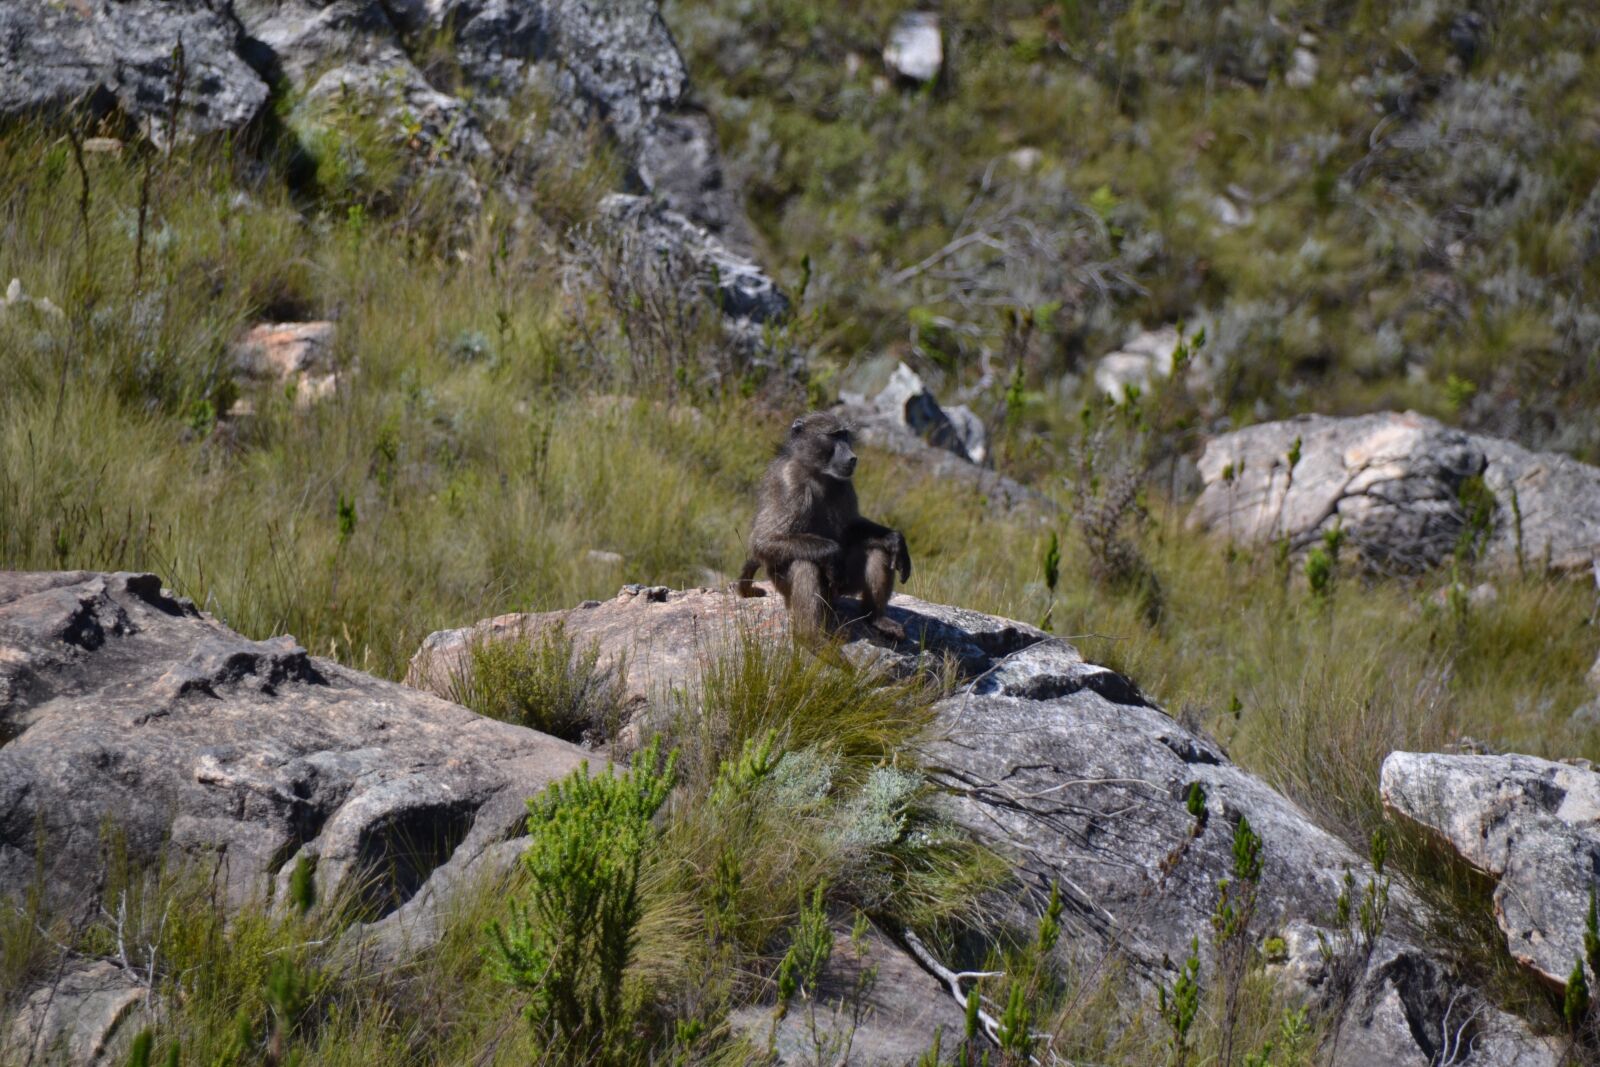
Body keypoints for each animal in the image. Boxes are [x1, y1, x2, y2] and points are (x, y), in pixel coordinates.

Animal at [735, 411, 913, 640]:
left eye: (845, 435)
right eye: (834, 436)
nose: (853, 457)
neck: (816, 472)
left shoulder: (845, 483)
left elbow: (851, 527)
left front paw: (895, 539)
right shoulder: (788, 482)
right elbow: (764, 540)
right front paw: (832, 552)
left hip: (841, 589)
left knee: (880, 549)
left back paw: (876, 617)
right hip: (786, 586)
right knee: (805, 562)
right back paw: (811, 638)